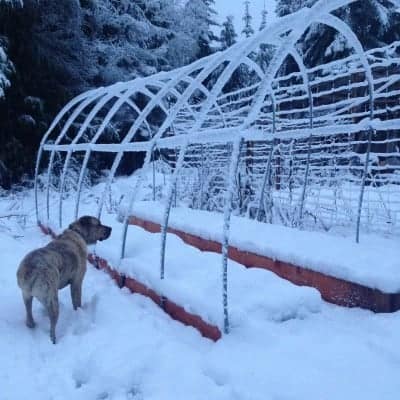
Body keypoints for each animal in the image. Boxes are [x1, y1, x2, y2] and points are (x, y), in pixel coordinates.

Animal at [16, 216, 111, 344]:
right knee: (52, 325)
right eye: (98, 224)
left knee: (29, 313)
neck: (78, 232)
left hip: (26, 295)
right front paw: (79, 313)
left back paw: (31, 324)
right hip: (52, 299)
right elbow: (77, 302)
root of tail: (29, 271)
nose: (111, 228)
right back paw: (54, 340)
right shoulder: (77, 282)